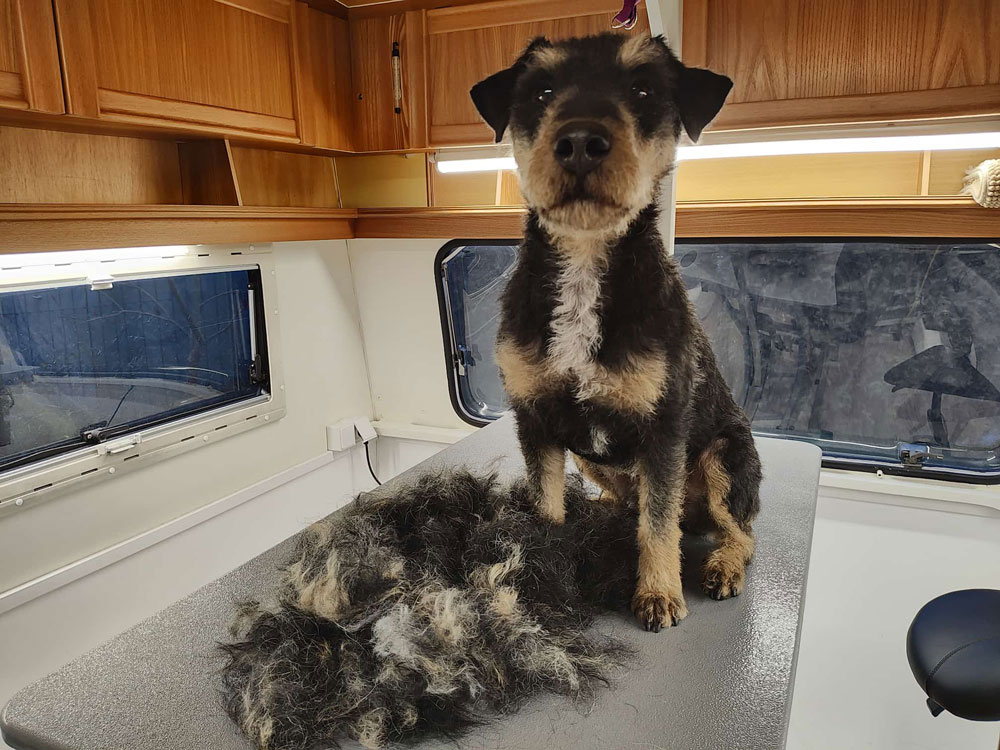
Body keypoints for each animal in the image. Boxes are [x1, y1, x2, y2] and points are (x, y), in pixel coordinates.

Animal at [470, 33, 762, 632]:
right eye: (543, 91)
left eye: (644, 89)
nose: (581, 142)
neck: (585, 266)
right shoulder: (537, 421)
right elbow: (549, 508)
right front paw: (549, 563)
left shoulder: (664, 429)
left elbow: (658, 525)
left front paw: (658, 593)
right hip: (589, 456)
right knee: (637, 504)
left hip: (725, 458)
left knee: (738, 531)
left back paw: (723, 564)